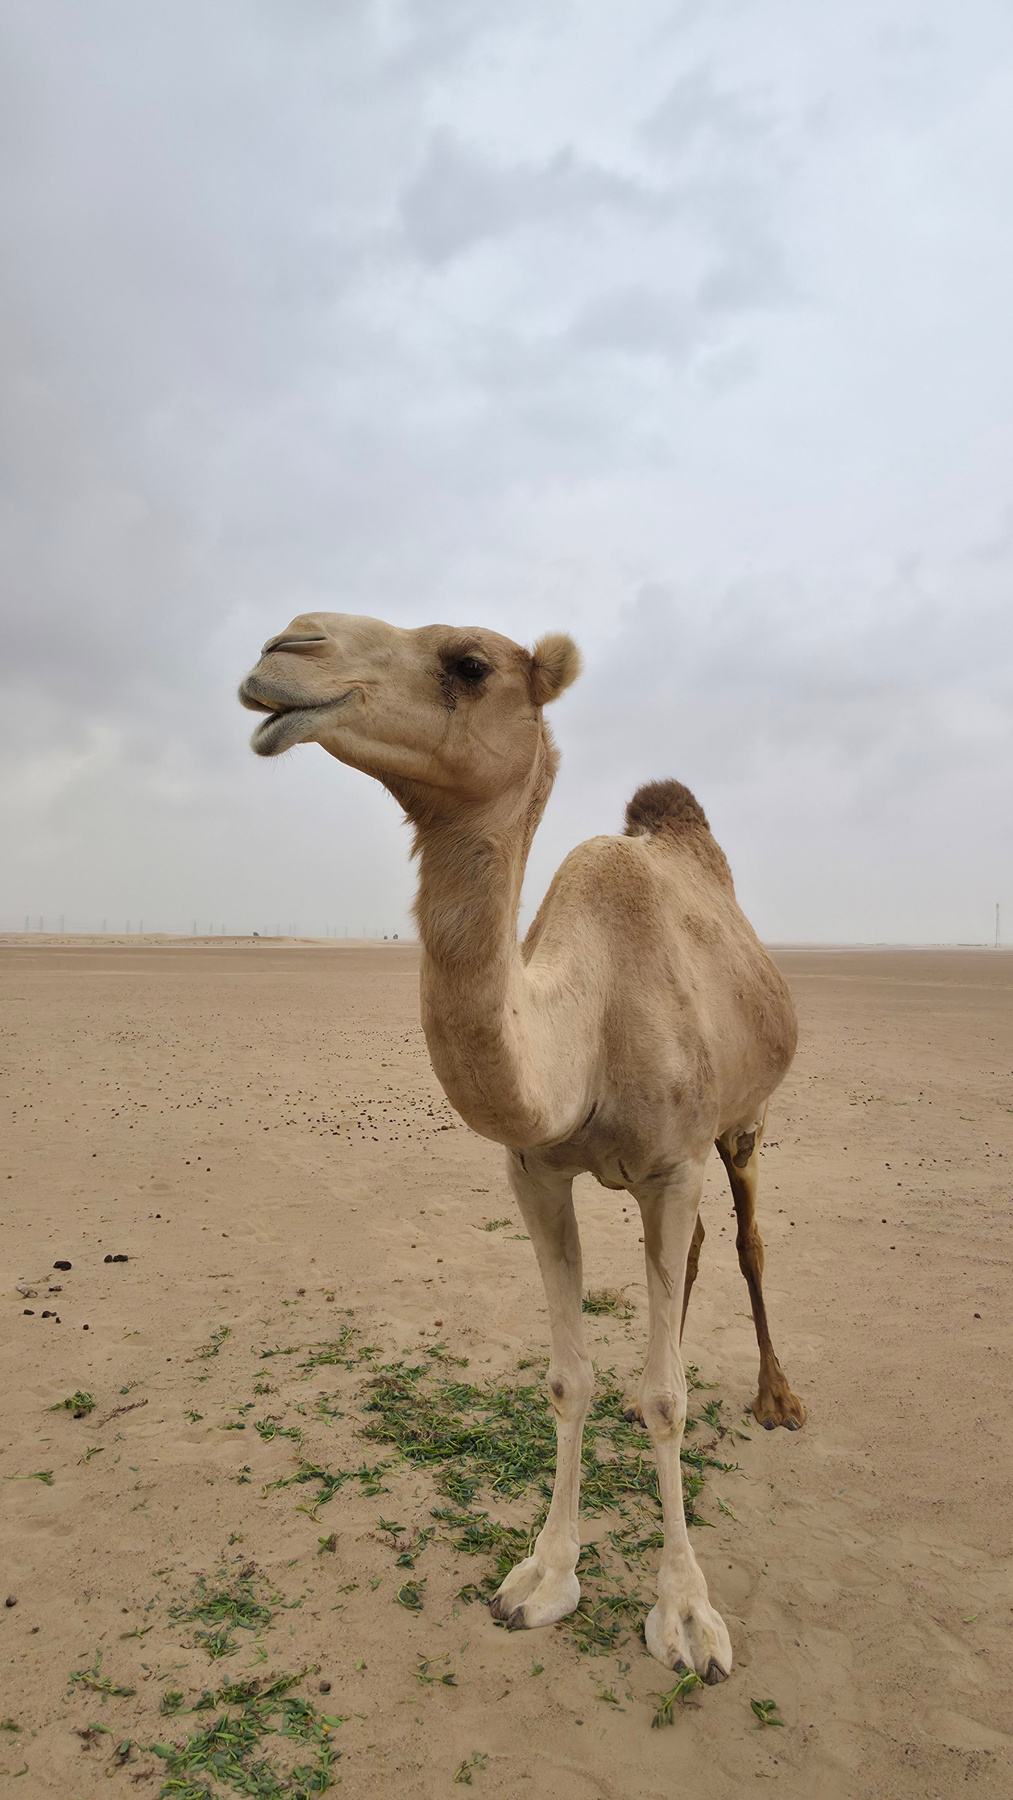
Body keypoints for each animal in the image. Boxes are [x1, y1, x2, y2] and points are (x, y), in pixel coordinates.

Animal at [239, 612, 804, 1683]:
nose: (284, 647)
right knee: (692, 1263)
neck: (587, 1026)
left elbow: (668, 1395)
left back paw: (776, 1397)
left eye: (468, 664)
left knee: (750, 1245)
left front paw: (687, 1616)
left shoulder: (674, 1164)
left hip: (744, 1123)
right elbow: (568, 1376)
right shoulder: (536, 1170)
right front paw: (543, 1576)